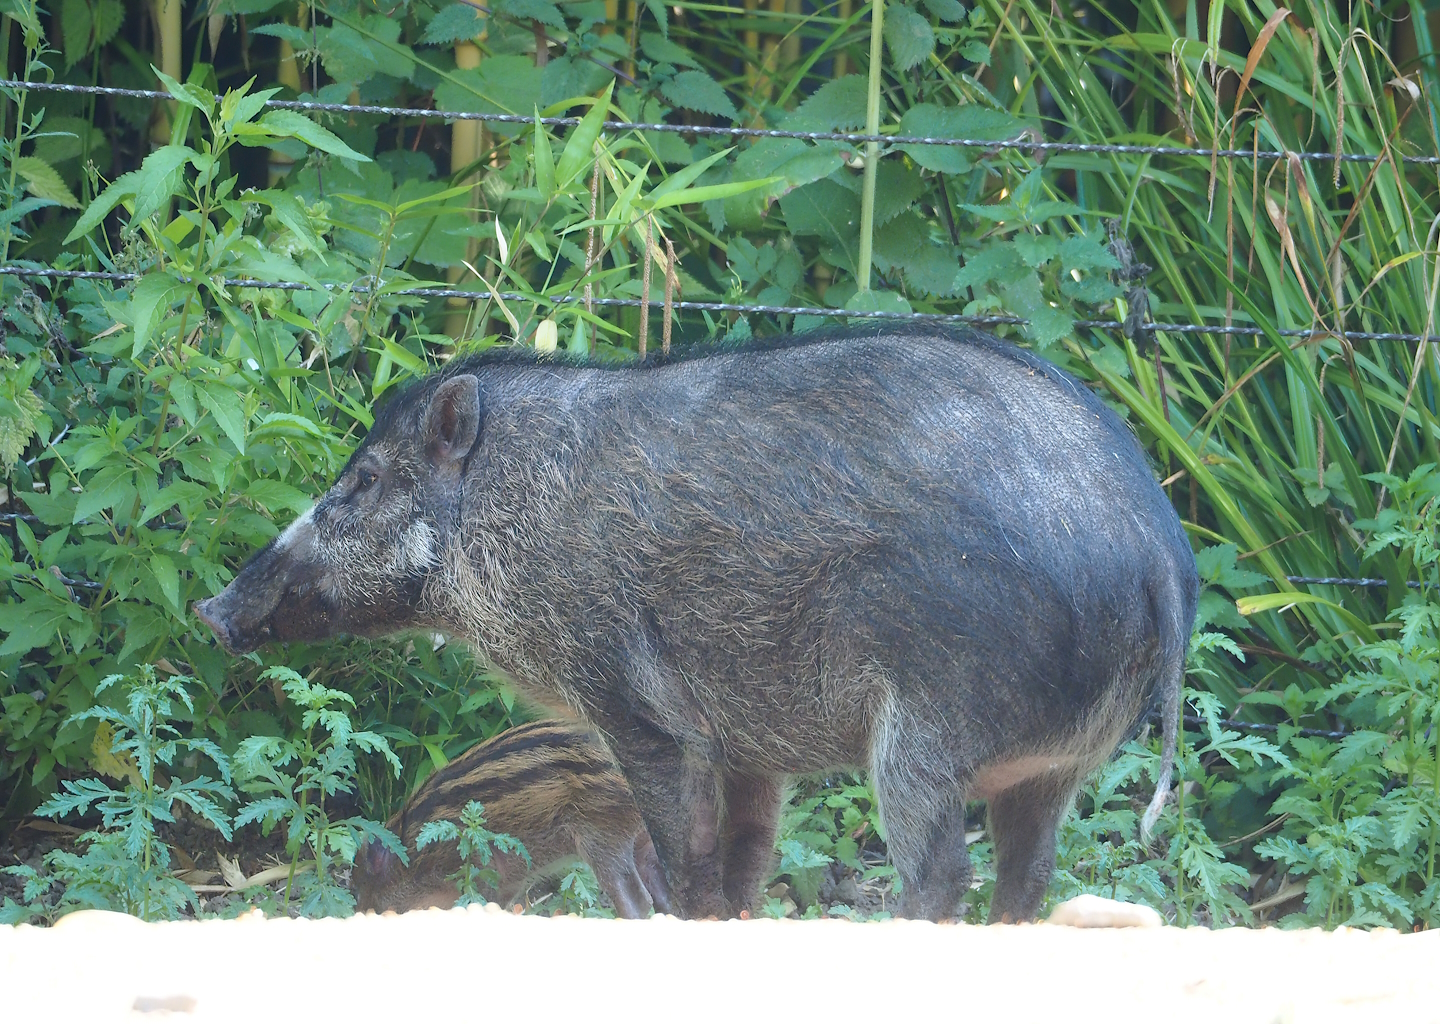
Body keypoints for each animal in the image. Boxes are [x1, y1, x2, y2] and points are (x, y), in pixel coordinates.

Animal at [352, 719, 672, 917]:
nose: (359, 911)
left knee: (637, 899)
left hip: (603, 836)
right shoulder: (508, 881)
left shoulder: (479, 870)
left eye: (361, 890)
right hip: (644, 842)